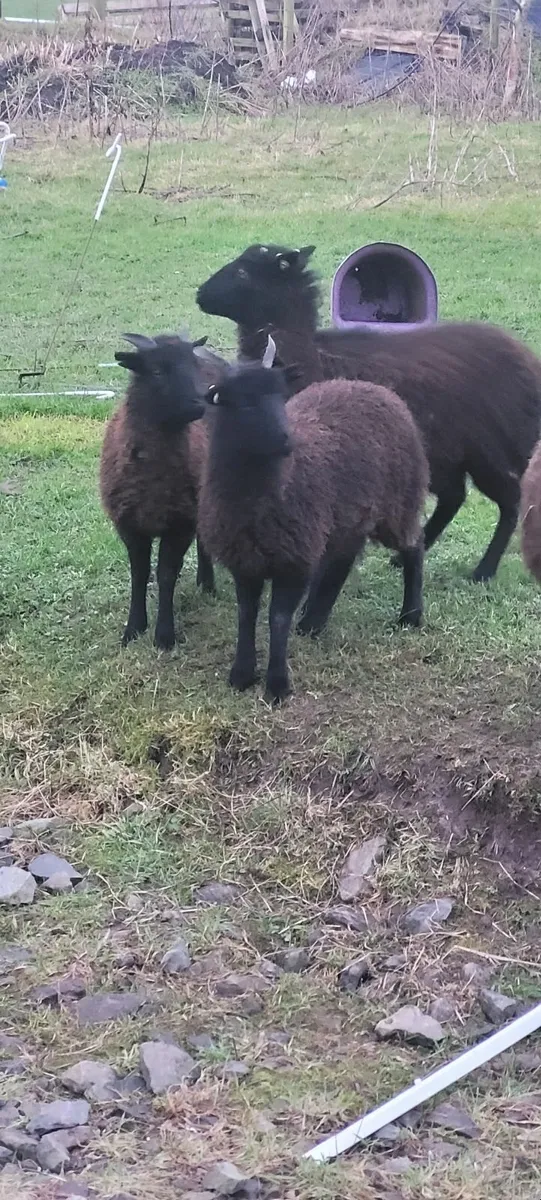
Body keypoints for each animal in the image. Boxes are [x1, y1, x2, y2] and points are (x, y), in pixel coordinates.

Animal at [99, 331, 215, 650]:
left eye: (192, 364)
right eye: (157, 371)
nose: (200, 402)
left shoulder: (180, 523)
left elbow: (165, 575)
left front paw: (164, 636)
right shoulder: (129, 524)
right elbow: (139, 575)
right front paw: (133, 628)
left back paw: (208, 583)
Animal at [197, 242, 541, 583]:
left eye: (243, 271)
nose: (200, 294)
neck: (306, 355)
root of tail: (527, 360)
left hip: (489, 451)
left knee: (510, 500)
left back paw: (484, 570)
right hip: (444, 451)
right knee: (454, 496)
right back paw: (406, 556)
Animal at [197, 337, 429, 704]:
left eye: (280, 394)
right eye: (243, 402)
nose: (285, 440)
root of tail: (371, 386)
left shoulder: (294, 558)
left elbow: (277, 619)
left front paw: (277, 685)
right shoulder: (245, 560)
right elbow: (246, 614)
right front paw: (241, 674)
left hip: (398, 498)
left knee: (414, 545)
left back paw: (410, 615)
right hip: (346, 516)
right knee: (343, 559)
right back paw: (313, 622)